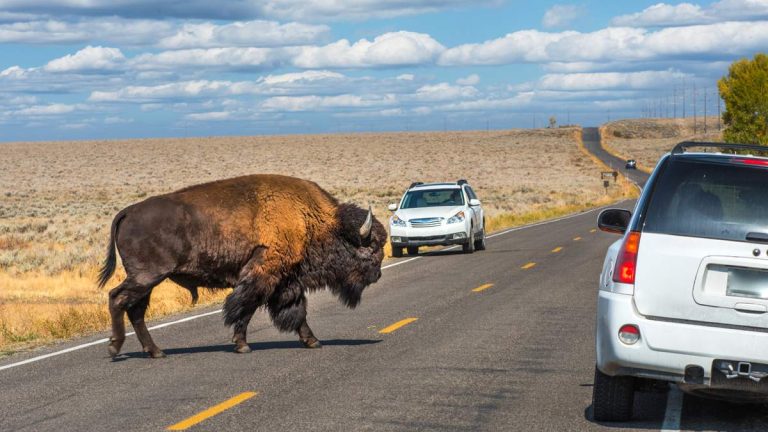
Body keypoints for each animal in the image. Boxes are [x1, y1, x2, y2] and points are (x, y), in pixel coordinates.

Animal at [97, 174, 387, 358]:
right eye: (370, 247)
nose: (377, 275)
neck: (312, 220)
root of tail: (127, 211)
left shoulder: (286, 281)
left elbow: (297, 311)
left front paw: (312, 341)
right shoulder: (262, 276)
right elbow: (244, 308)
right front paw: (242, 345)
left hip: (147, 281)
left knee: (135, 310)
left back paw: (156, 352)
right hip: (147, 277)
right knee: (117, 298)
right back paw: (115, 348)